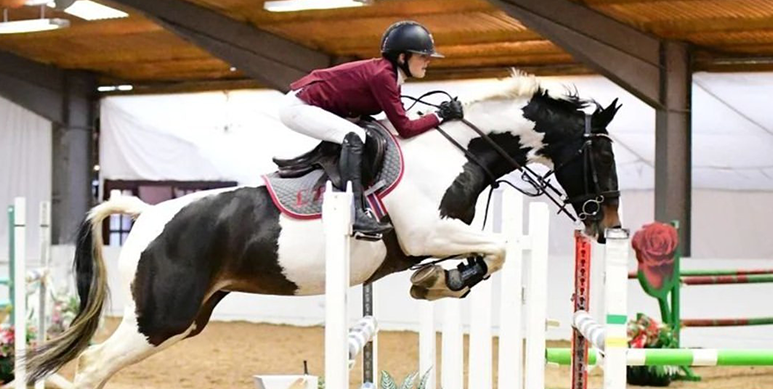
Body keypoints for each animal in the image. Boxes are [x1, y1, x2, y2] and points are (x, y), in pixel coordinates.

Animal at [28, 71, 620, 386]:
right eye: (600, 153)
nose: (606, 223)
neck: (456, 150)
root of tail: (147, 215)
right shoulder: (428, 233)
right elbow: (496, 251)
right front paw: (440, 281)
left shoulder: (433, 239)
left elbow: (490, 254)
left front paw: (432, 281)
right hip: (159, 317)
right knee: (90, 367)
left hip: (184, 318)